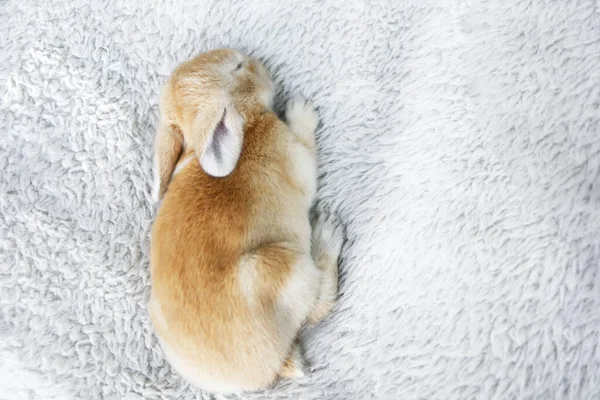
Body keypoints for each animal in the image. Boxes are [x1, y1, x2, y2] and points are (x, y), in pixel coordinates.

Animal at [148, 47, 344, 394]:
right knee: (316, 309)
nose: (254, 59)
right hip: (285, 270)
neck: (245, 126)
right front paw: (301, 110)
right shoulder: (296, 156)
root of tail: (270, 369)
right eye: (238, 67)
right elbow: (307, 152)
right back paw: (328, 234)